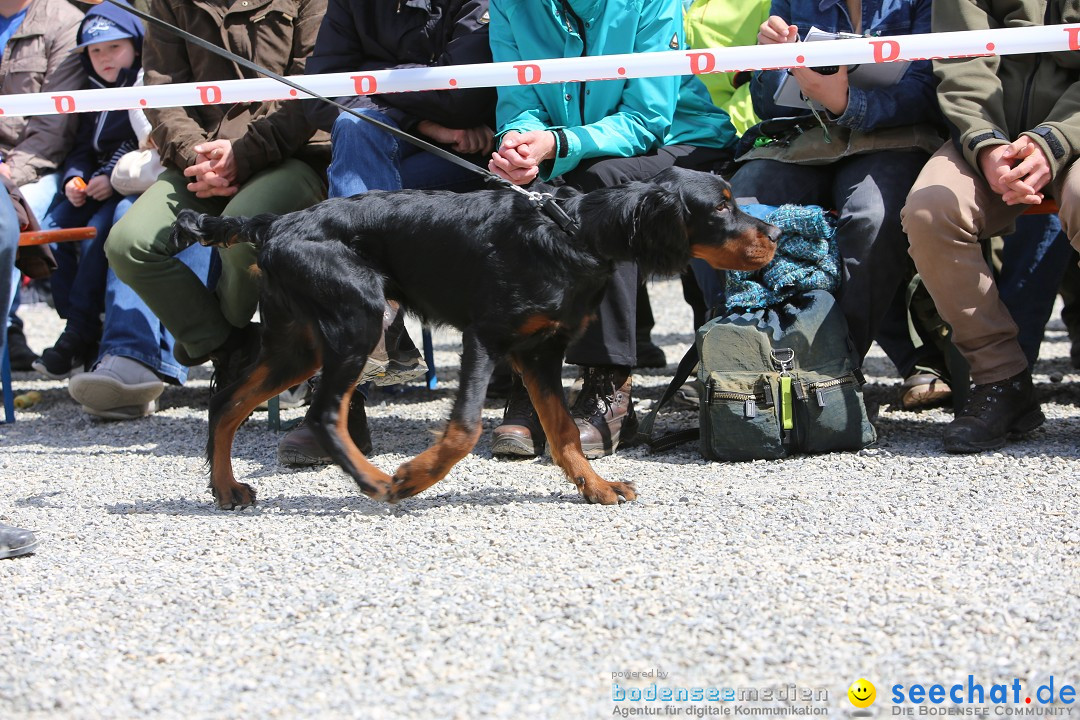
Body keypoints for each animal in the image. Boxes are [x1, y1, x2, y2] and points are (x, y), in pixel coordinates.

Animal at [170, 167, 777, 509]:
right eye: (721, 205)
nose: (774, 232)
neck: (574, 232)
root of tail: (274, 223)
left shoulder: (540, 352)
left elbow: (564, 433)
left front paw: (597, 487)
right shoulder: (487, 337)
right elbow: (464, 430)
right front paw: (416, 477)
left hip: (298, 343)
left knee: (228, 403)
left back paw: (226, 490)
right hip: (356, 320)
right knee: (322, 413)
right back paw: (380, 482)